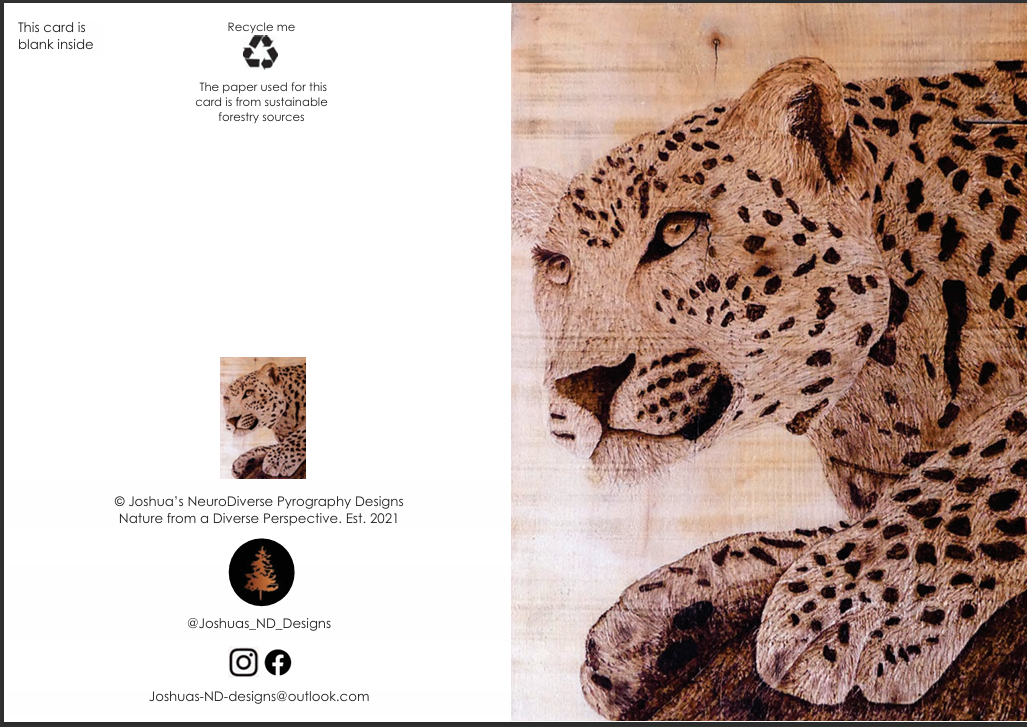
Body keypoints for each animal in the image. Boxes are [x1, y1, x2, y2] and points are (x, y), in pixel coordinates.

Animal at [513, 58, 1026, 719]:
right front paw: (652, 621)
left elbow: (990, 458)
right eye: (556, 266)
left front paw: (854, 608)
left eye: (676, 230)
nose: (582, 385)